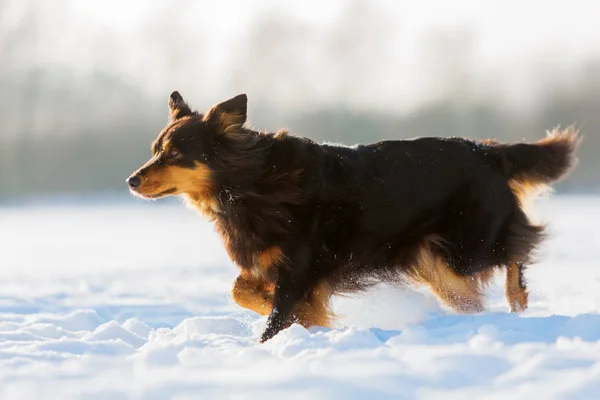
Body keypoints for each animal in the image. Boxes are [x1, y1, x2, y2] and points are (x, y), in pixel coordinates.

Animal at [127, 92, 580, 342]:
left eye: (174, 154)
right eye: (155, 150)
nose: (132, 180)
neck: (249, 182)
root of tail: (486, 150)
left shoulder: (298, 267)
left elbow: (275, 317)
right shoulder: (274, 265)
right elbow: (243, 291)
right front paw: (308, 322)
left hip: (465, 246)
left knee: (515, 248)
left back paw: (517, 298)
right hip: (434, 261)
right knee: (471, 292)